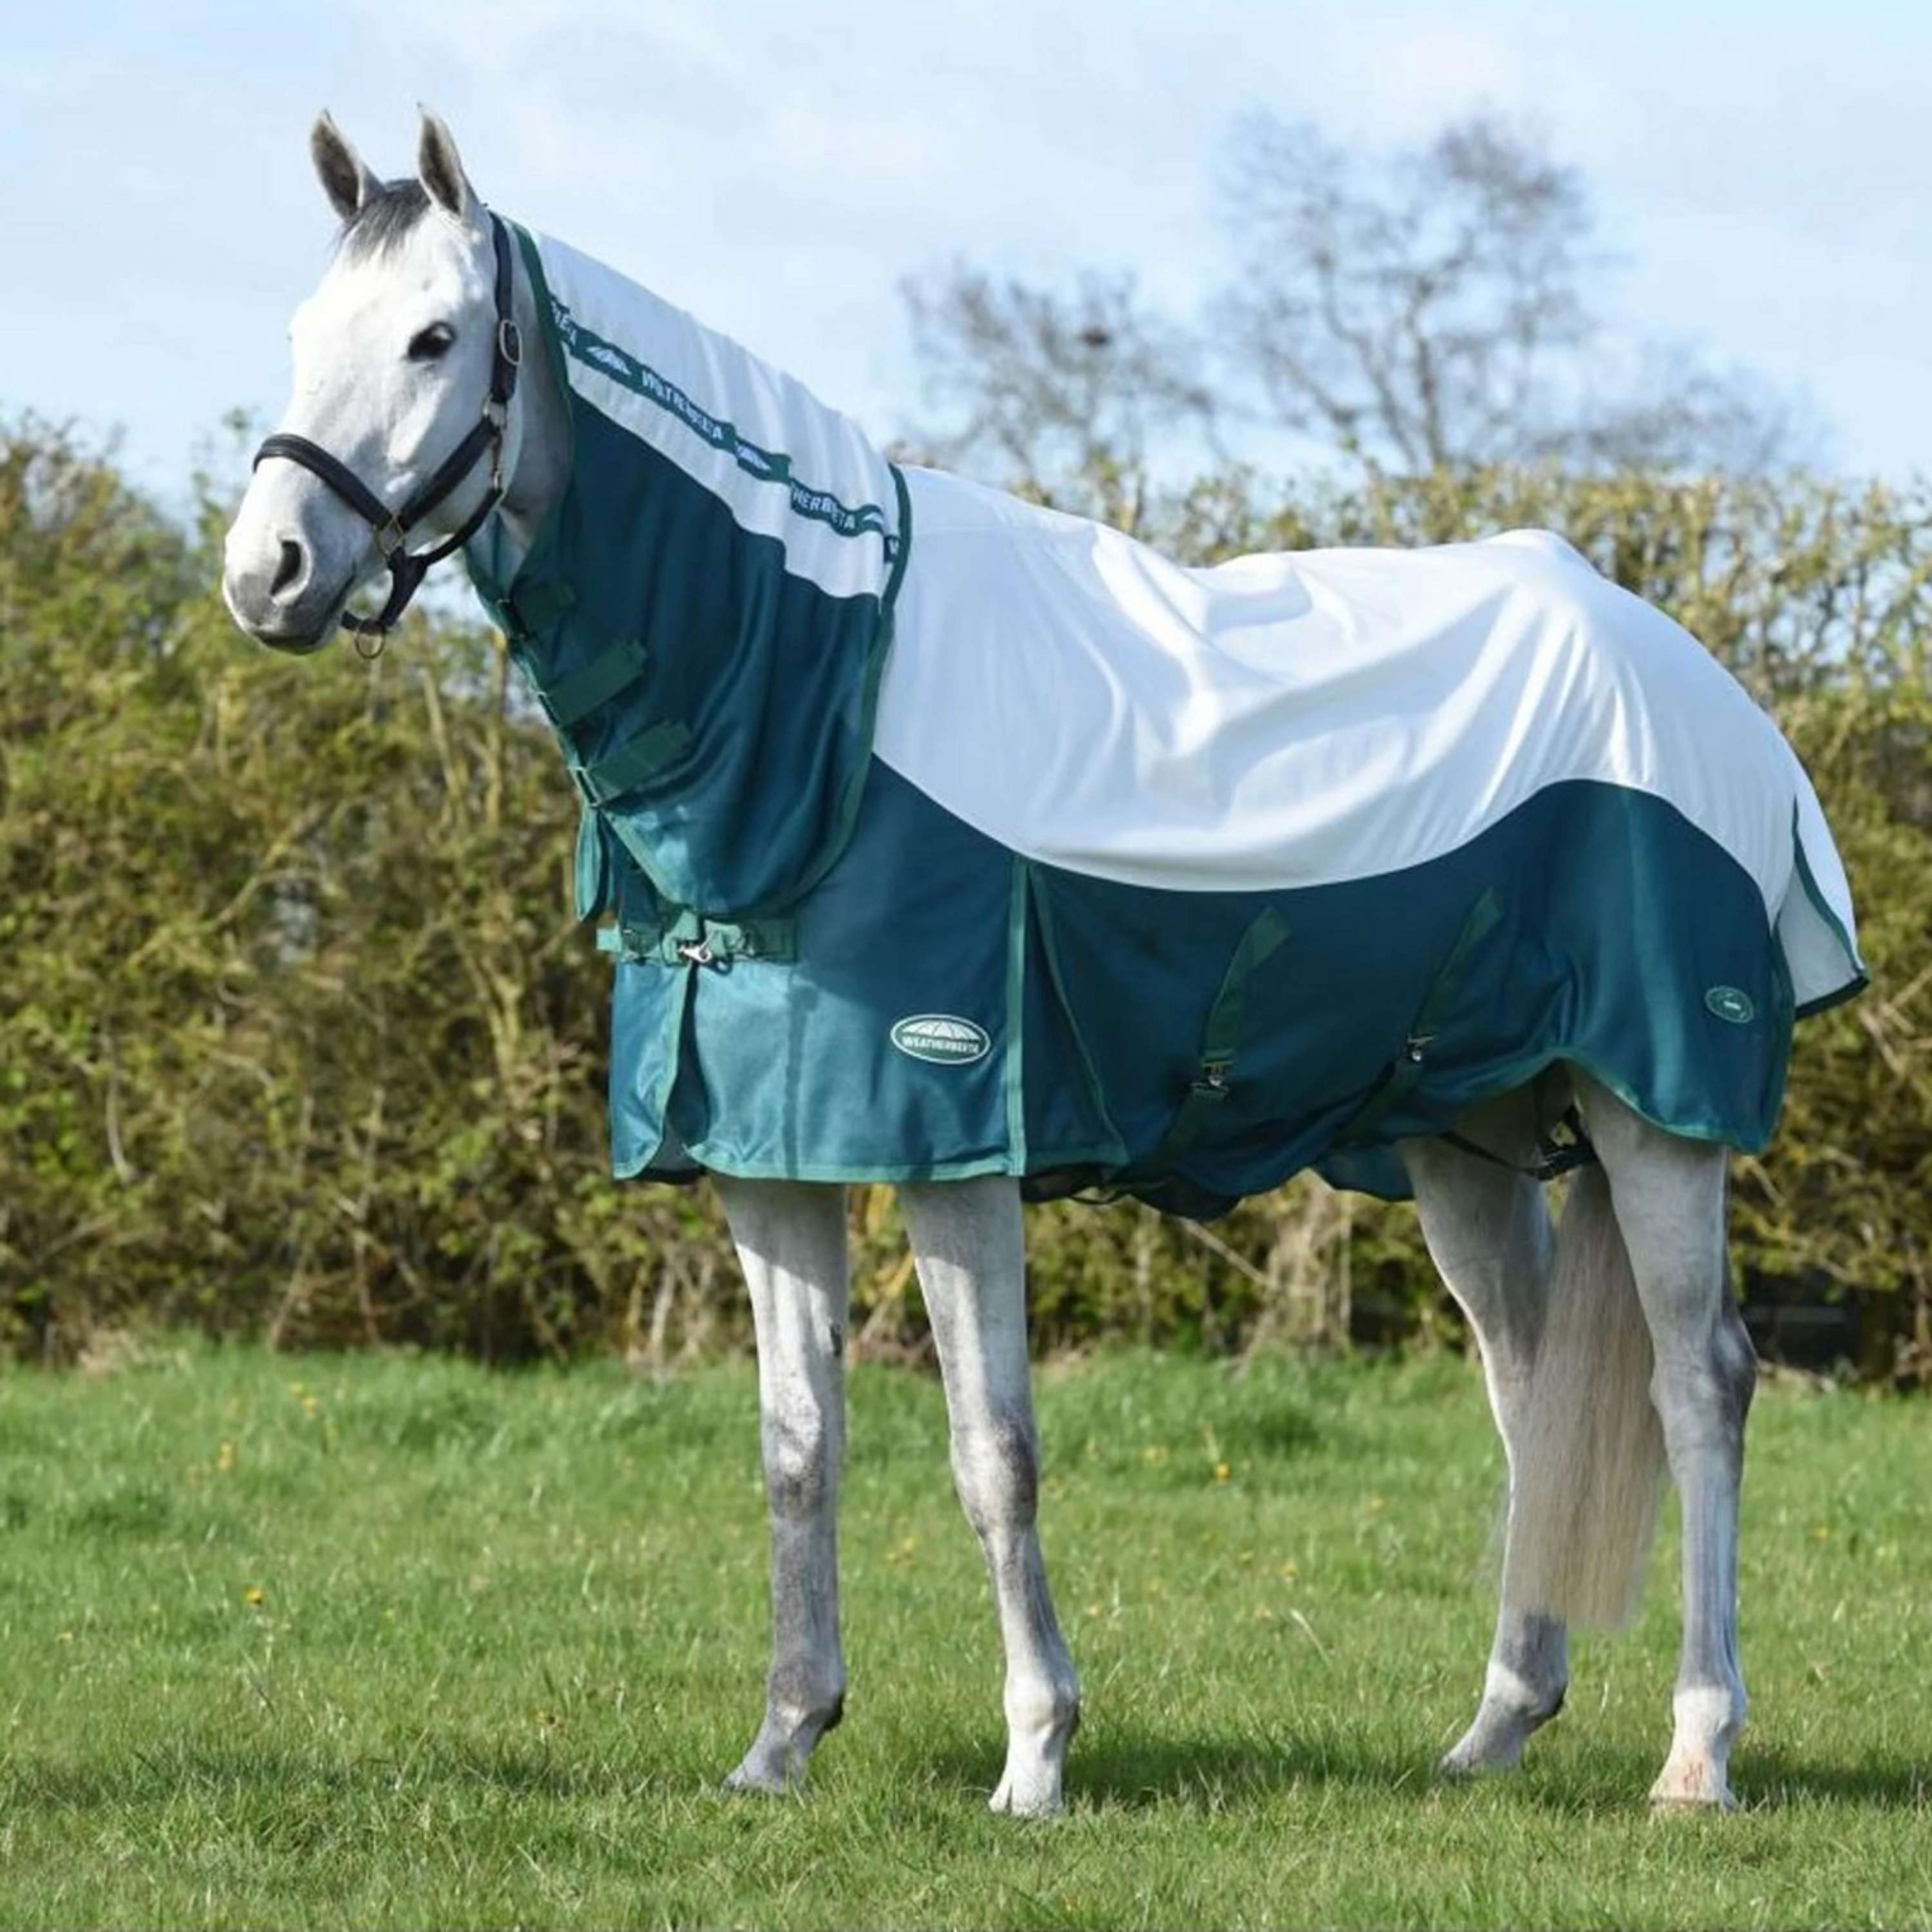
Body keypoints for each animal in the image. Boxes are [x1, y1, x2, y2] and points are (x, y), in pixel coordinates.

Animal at [222, 110, 1864, 1817]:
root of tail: (1709, 699)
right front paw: (782, 1740)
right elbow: (795, 1445)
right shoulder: (768, 1161)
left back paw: (1696, 1750)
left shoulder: (955, 1150)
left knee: (1700, 1384)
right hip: (1463, 1135)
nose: (265, 571)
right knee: (1531, 1387)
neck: (820, 699)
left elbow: (989, 1451)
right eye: (301, 333)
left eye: (433, 336)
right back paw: (1494, 1726)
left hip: (1655, 1118)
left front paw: (1035, 1754)